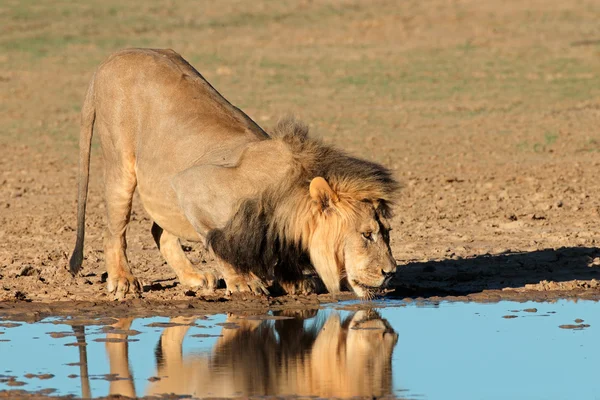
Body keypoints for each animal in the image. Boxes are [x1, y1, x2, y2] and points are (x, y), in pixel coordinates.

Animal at [69, 48, 398, 298]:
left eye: (387, 232)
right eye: (366, 234)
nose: (391, 272)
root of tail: (112, 57)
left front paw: (294, 281)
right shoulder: (190, 186)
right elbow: (217, 243)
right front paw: (242, 282)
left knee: (159, 231)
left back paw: (192, 277)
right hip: (121, 164)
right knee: (115, 230)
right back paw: (123, 280)